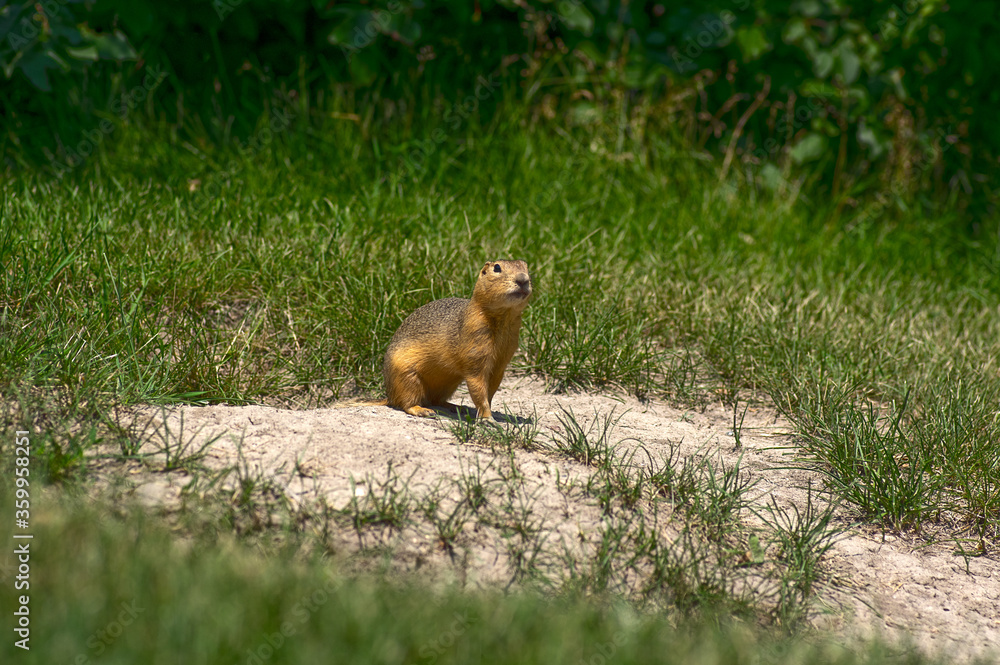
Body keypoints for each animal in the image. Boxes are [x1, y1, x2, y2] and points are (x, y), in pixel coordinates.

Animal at [342, 260, 532, 420]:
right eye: (497, 268)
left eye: (526, 266)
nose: (523, 280)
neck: (504, 317)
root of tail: (389, 396)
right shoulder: (475, 353)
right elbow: (478, 387)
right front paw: (487, 417)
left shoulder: (501, 362)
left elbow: (490, 390)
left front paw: (491, 414)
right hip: (407, 378)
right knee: (406, 403)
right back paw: (423, 410)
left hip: (447, 383)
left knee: (436, 400)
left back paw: (456, 406)